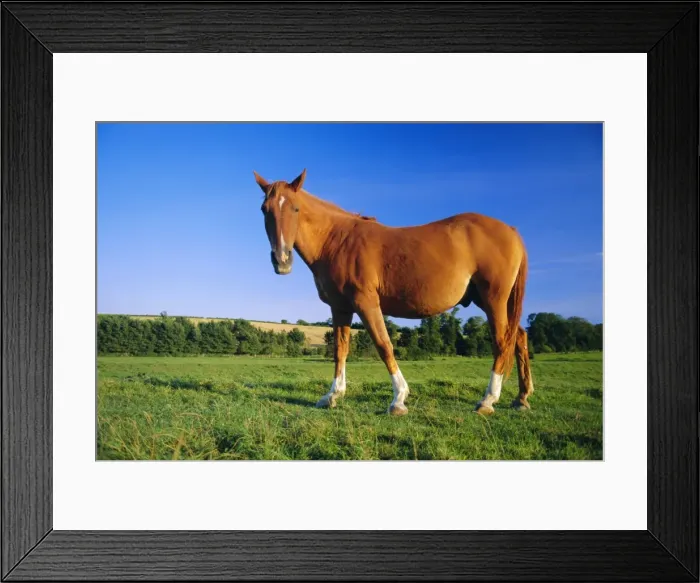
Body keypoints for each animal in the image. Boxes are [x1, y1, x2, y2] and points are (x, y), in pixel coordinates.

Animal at [254, 169, 534, 416]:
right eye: (265, 210)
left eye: (295, 208)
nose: (281, 260)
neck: (337, 241)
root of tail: (511, 230)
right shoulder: (340, 307)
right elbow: (340, 350)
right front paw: (333, 395)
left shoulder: (366, 303)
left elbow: (384, 345)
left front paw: (398, 399)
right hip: (490, 301)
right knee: (519, 337)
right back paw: (521, 398)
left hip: (493, 299)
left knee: (502, 342)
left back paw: (488, 400)